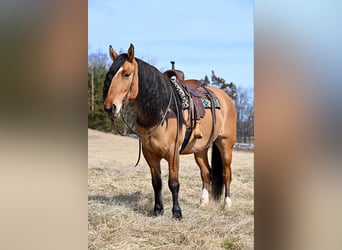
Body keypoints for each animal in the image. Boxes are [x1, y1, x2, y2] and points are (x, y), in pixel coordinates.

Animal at [103, 43, 236, 219]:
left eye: (126, 74)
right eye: (110, 75)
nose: (109, 107)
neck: (158, 112)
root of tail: (226, 99)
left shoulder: (173, 153)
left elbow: (173, 183)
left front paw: (177, 213)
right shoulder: (150, 154)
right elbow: (157, 183)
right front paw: (157, 210)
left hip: (226, 144)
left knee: (226, 173)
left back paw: (227, 205)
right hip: (200, 149)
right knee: (206, 172)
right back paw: (203, 202)